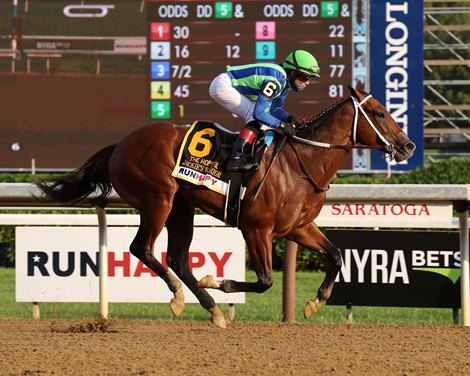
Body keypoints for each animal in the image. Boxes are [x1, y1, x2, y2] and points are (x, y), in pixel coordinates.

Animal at [38, 87, 416, 326]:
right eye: (379, 113)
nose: (408, 145)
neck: (301, 163)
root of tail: (120, 145)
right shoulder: (256, 229)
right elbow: (264, 281)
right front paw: (217, 282)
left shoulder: (297, 227)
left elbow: (336, 255)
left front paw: (315, 302)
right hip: (158, 199)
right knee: (142, 248)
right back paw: (181, 296)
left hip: (182, 206)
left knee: (177, 257)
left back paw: (211, 309)